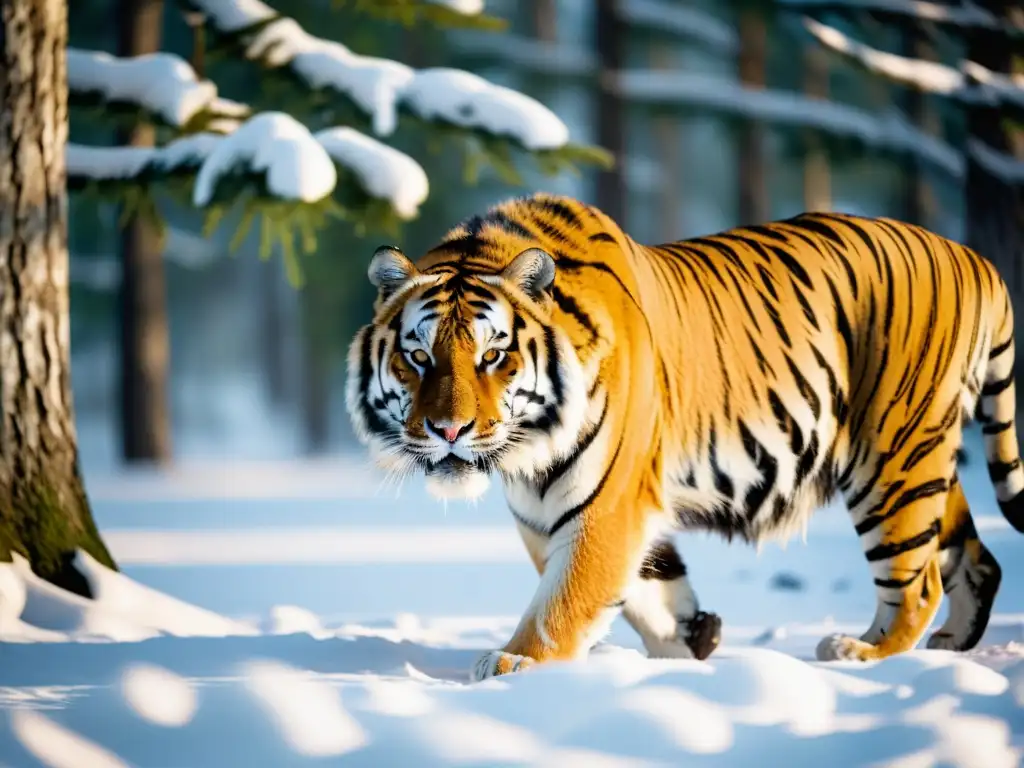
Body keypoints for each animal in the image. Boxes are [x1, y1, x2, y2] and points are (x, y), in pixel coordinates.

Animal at [346, 191, 1024, 679]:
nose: (449, 429)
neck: (529, 446)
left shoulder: (607, 505)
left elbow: (563, 601)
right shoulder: (549, 512)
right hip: (921, 460)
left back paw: (861, 653)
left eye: (491, 355)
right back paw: (950, 644)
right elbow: (642, 589)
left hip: (890, 459)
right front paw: (690, 642)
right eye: (419, 357)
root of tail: (977, 259)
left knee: (918, 582)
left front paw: (517, 662)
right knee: (975, 558)